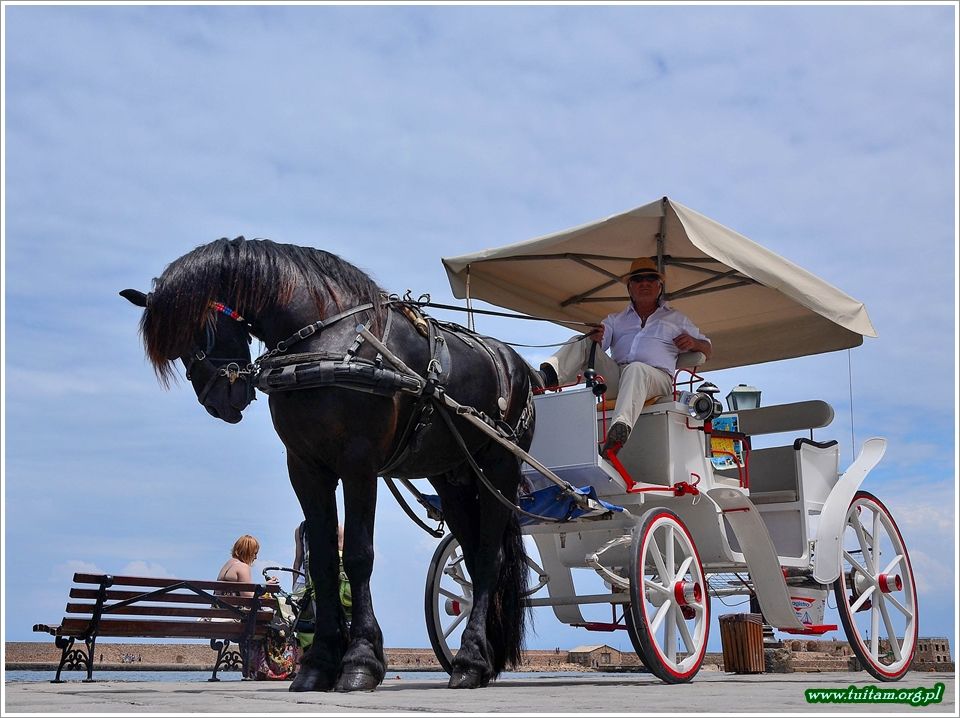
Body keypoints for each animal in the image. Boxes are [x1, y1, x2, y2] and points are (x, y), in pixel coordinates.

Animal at [121, 239, 536, 696]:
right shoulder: (305, 467)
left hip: (499, 466)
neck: (325, 341)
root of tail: (517, 363)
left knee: (489, 557)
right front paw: (319, 664)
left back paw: (471, 660)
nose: (218, 401)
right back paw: (480, 660)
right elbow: (321, 561)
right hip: (452, 475)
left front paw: (360, 662)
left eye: (201, 329)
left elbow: (356, 555)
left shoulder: (358, 463)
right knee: (473, 550)